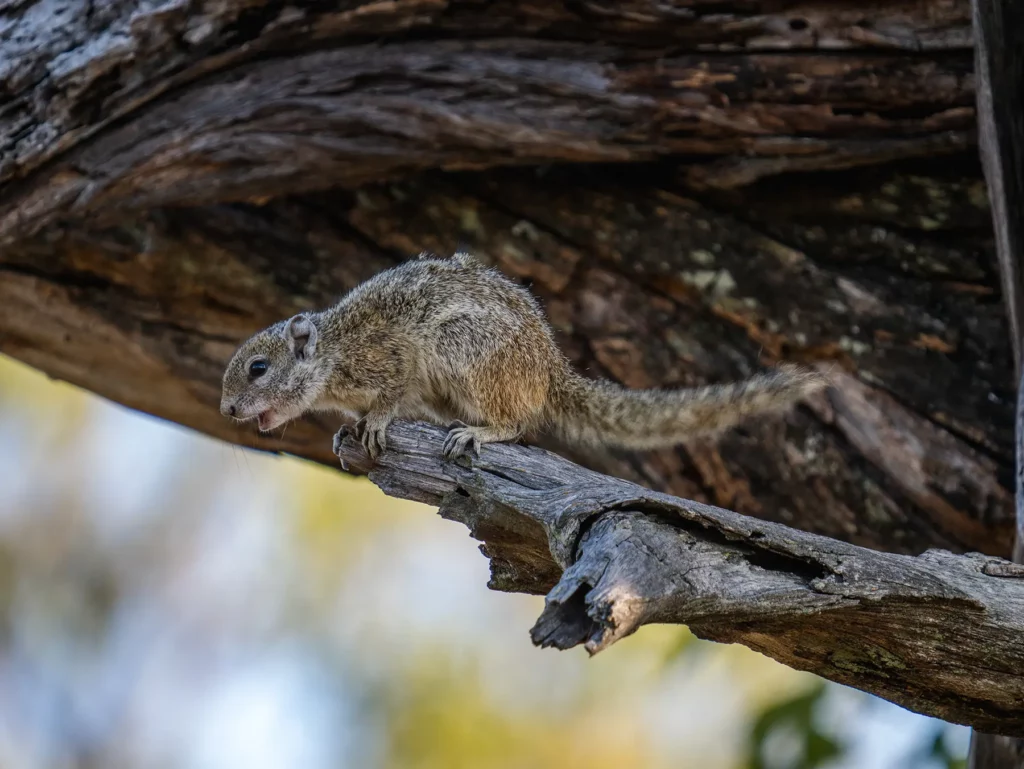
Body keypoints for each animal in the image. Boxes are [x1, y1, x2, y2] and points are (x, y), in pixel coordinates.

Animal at [220, 251, 828, 460]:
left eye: (258, 368)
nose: (227, 410)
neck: (332, 357)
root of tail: (549, 372)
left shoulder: (386, 358)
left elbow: (390, 394)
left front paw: (374, 422)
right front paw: (346, 428)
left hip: (465, 349)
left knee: (516, 424)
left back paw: (481, 432)